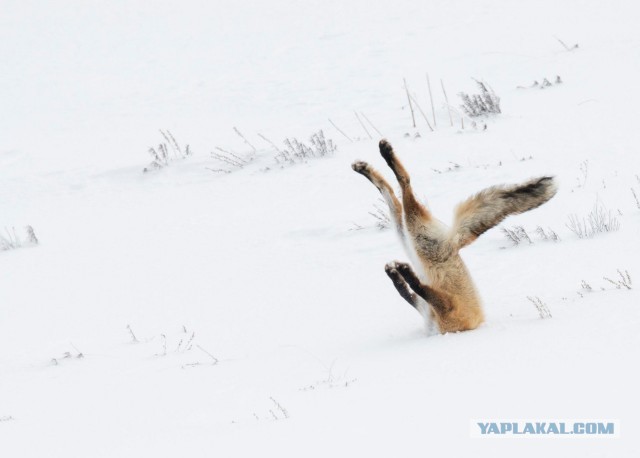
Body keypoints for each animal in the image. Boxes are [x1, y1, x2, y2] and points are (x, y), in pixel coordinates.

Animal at [352, 140, 556, 332]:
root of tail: (454, 242)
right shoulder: (430, 308)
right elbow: (406, 292)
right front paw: (397, 274)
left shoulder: (446, 309)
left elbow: (416, 288)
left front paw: (403, 273)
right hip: (409, 236)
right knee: (390, 192)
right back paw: (367, 167)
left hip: (416, 236)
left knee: (404, 184)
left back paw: (384, 156)